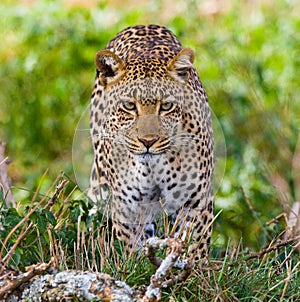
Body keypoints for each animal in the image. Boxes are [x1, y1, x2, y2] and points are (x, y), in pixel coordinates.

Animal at [88, 24, 214, 262]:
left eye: (166, 106)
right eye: (129, 105)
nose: (148, 141)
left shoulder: (196, 200)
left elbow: (194, 246)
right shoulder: (128, 206)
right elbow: (132, 247)